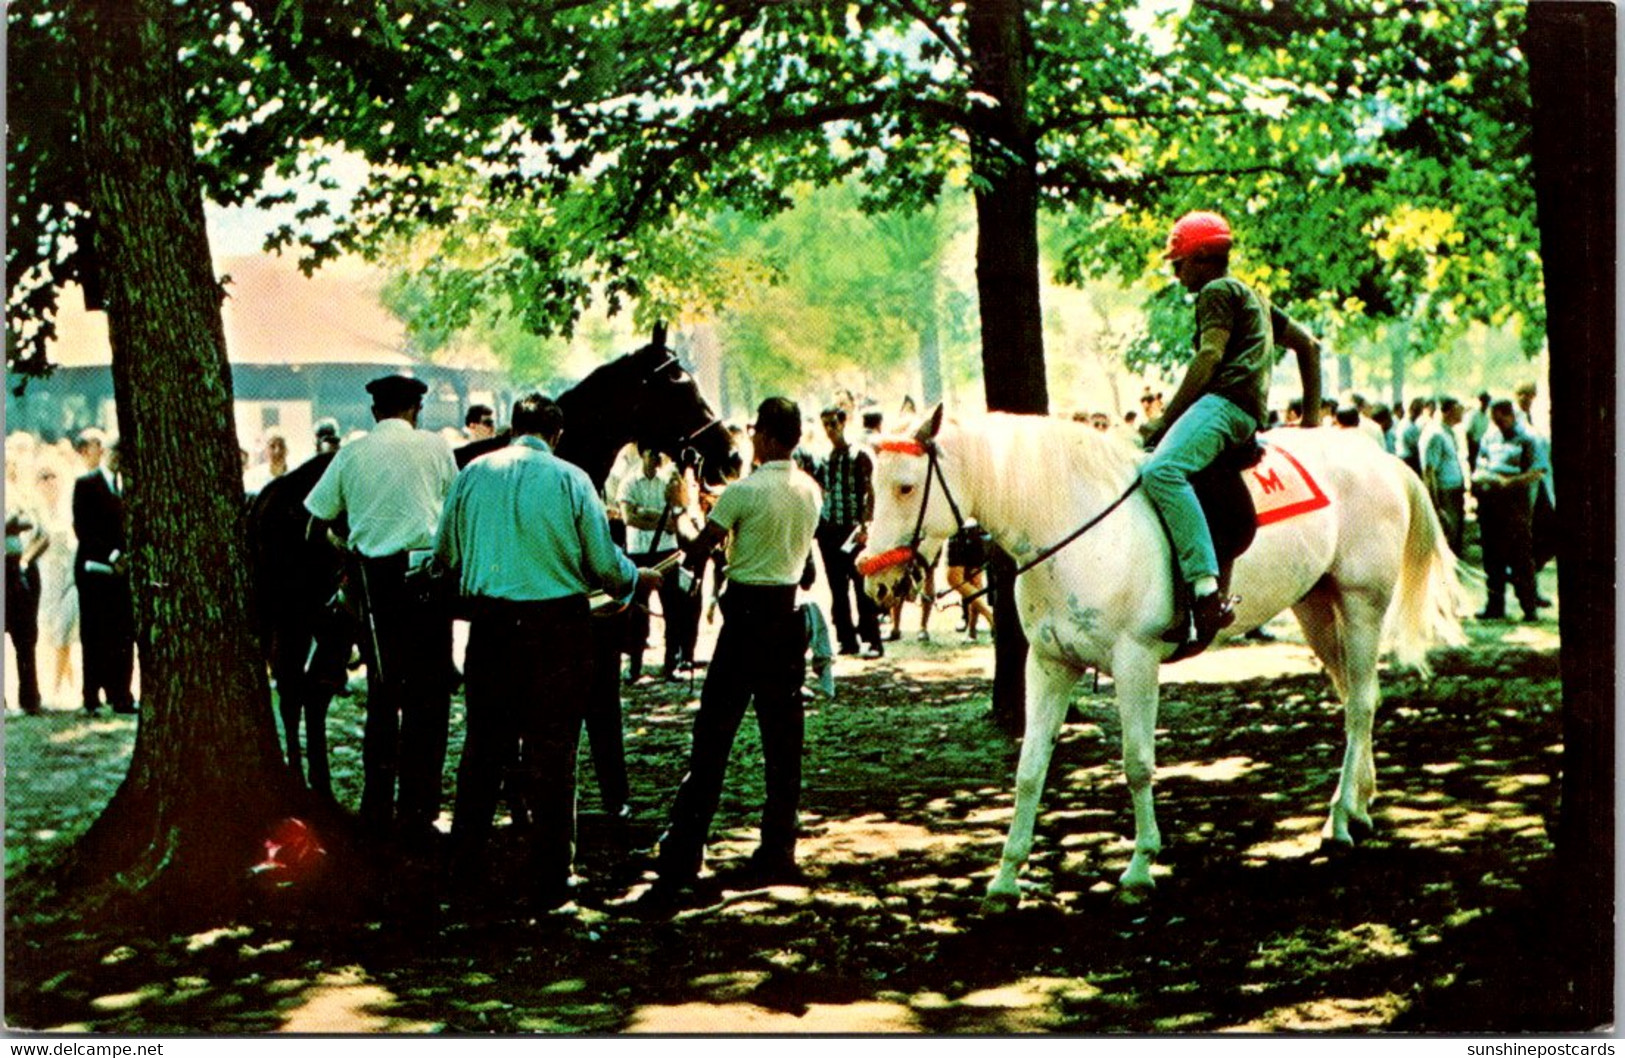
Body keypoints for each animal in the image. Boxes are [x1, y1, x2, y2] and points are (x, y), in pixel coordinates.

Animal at [858, 407, 1469, 910]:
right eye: (872, 488)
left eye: (906, 487)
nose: (874, 581)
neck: (1073, 525)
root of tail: (1380, 458)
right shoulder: (1049, 665)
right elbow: (1030, 771)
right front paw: (1005, 880)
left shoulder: (1136, 662)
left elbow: (1137, 764)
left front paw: (1139, 867)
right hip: (1317, 608)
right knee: (1353, 701)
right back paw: (1358, 803)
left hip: (1361, 605)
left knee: (1361, 705)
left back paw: (1342, 822)